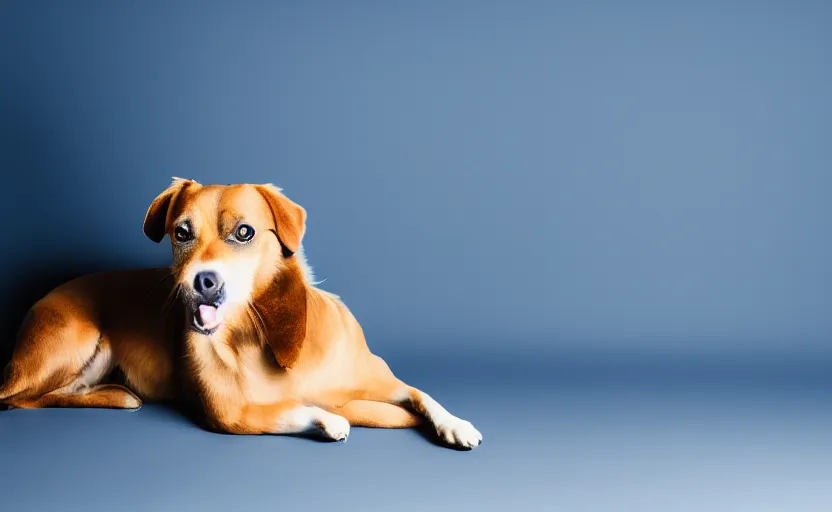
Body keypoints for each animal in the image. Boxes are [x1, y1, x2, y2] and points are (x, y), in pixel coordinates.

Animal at [0, 179, 480, 448]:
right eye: (182, 233)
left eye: (244, 232)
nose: (201, 281)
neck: (271, 337)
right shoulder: (230, 413)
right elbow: (295, 408)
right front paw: (329, 418)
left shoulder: (384, 382)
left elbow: (421, 394)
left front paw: (456, 424)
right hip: (76, 339)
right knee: (20, 398)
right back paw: (116, 396)